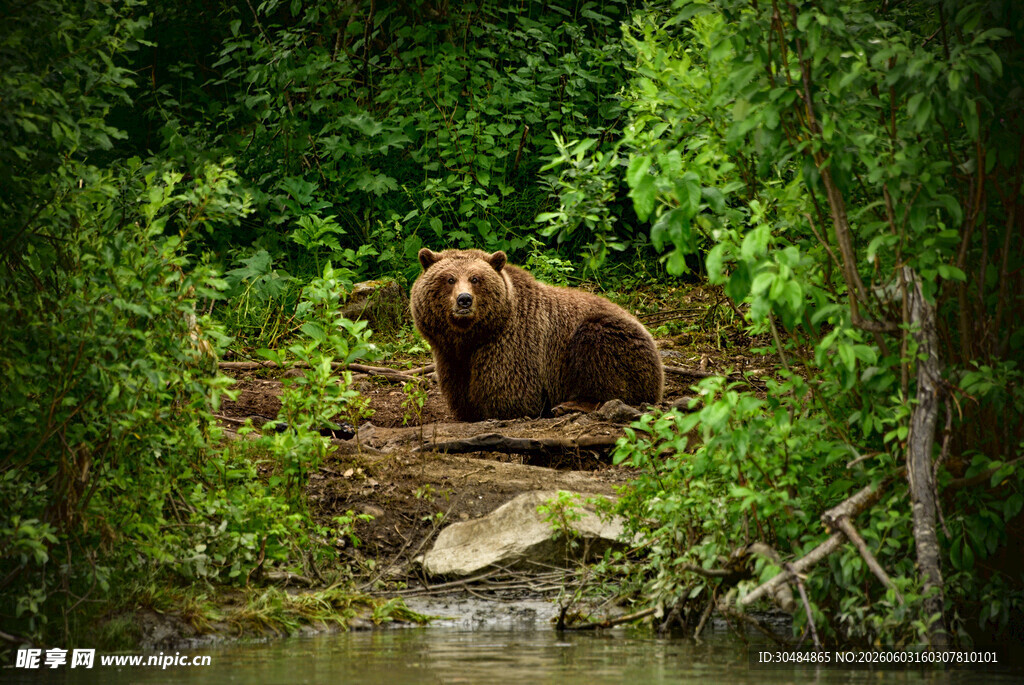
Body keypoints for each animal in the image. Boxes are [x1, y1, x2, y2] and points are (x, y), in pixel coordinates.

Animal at [410, 248, 663, 422]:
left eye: (475, 278)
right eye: (449, 278)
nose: (464, 299)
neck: (473, 336)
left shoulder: (513, 343)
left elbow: (510, 392)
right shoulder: (450, 355)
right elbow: (459, 390)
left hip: (614, 339)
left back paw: (570, 405)